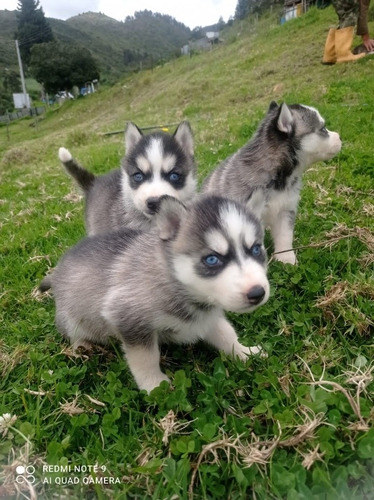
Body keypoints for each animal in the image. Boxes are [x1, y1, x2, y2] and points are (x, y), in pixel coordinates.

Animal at [40, 195, 268, 394]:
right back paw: (82, 346)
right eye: (212, 259)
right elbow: (146, 358)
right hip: (70, 318)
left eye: (257, 249)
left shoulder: (208, 318)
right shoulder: (127, 317)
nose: (258, 293)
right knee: (73, 332)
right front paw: (155, 385)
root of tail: (58, 270)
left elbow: (226, 334)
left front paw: (244, 352)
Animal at [202, 102, 342, 266]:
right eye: (323, 129)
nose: (339, 137)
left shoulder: (286, 209)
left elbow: (285, 235)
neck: (278, 180)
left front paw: (286, 258)